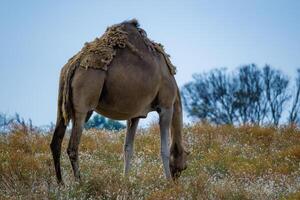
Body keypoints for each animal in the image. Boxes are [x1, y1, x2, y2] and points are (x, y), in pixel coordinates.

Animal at [50, 18, 189, 183]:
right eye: (184, 167)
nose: (176, 179)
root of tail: (73, 65)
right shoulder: (166, 105)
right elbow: (164, 149)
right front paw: (167, 182)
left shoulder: (135, 114)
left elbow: (128, 148)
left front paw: (125, 180)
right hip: (84, 104)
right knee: (72, 146)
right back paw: (80, 182)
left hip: (62, 104)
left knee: (56, 141)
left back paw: (61, 184)